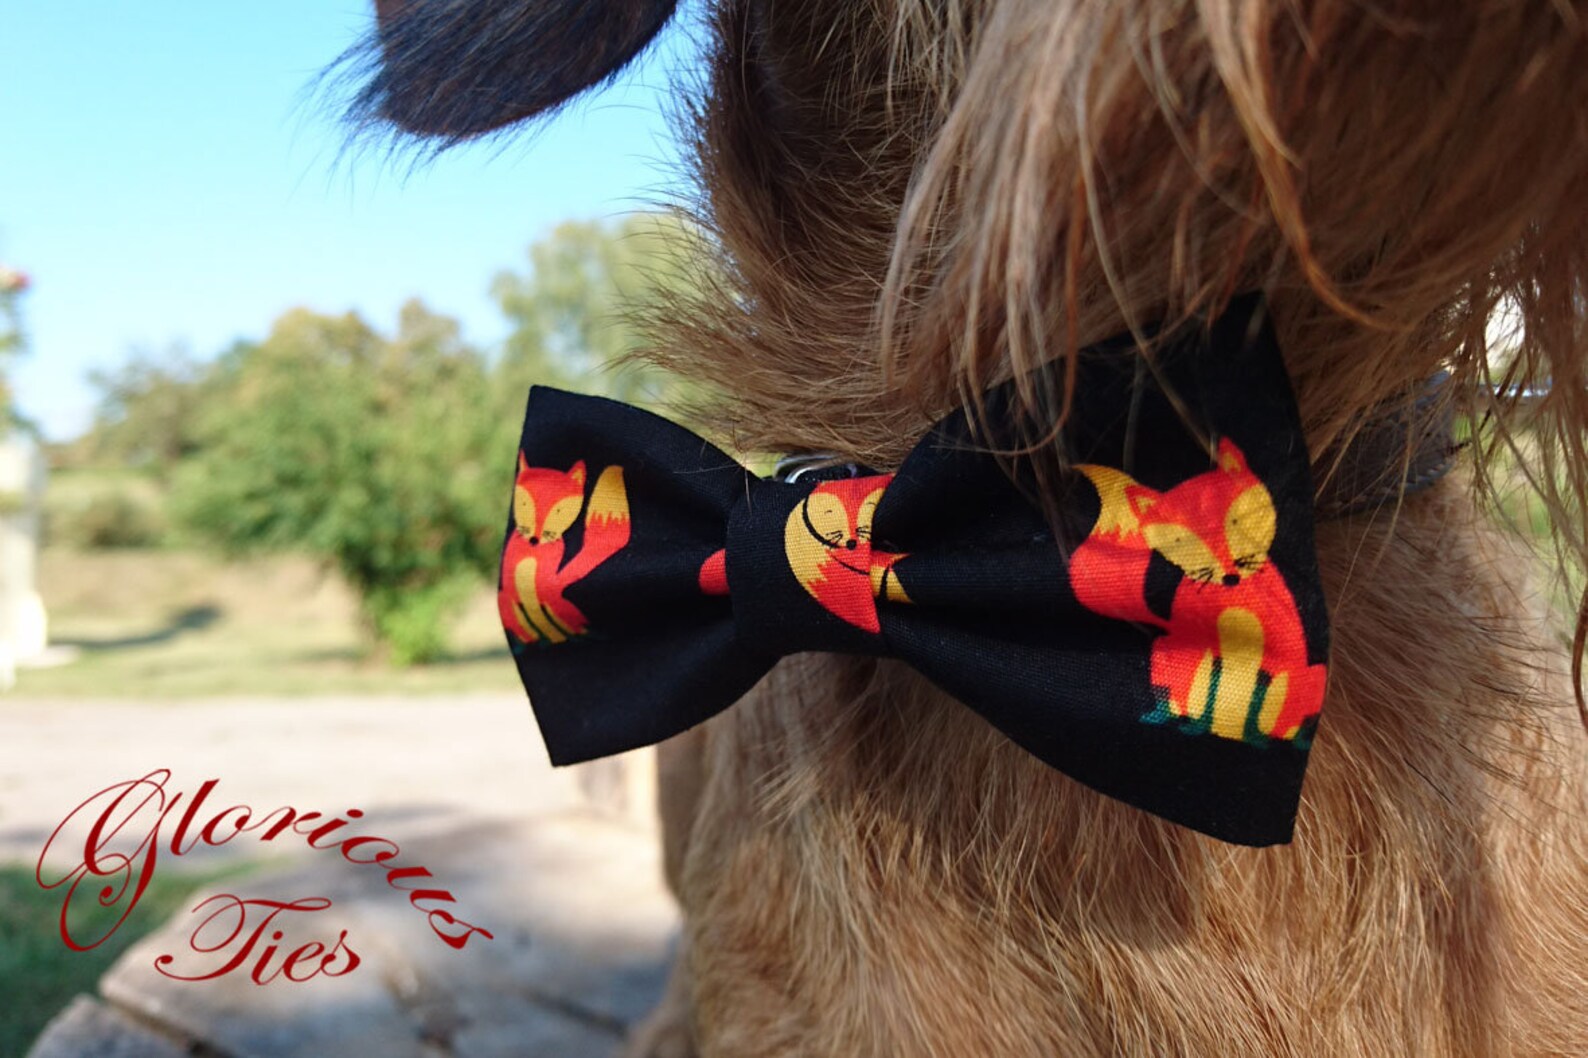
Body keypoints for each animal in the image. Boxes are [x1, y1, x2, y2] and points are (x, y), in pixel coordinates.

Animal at [1072, 439, 1326, 744]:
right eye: (1182, 540)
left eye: (1236, 521)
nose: (1230, 575)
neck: (1232, 602)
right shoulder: (1211, 651)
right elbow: (1212, 693)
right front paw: (1200, 724)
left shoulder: (1272, 655)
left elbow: (1256, 700)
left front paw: (1253, 735)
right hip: (1166, 654)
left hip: (1310, 676)